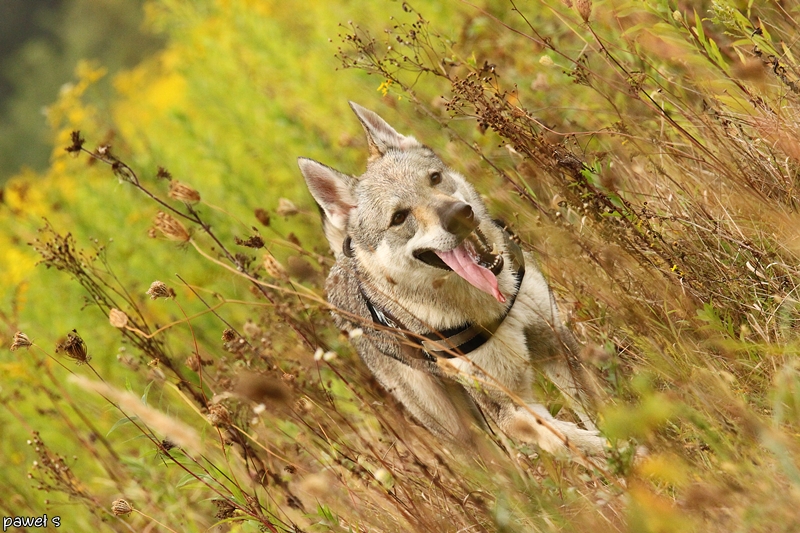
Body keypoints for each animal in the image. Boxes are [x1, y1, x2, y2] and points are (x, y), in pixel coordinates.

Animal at [297, 102, 607, 459]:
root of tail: (342, 262)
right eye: (399, 217)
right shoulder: (508, 406)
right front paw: (614, 452)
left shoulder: (558, 347)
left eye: (434, 179)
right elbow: (563, 435)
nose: (459, 214)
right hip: (463, 434)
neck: (490, 307)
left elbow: (598, 412)